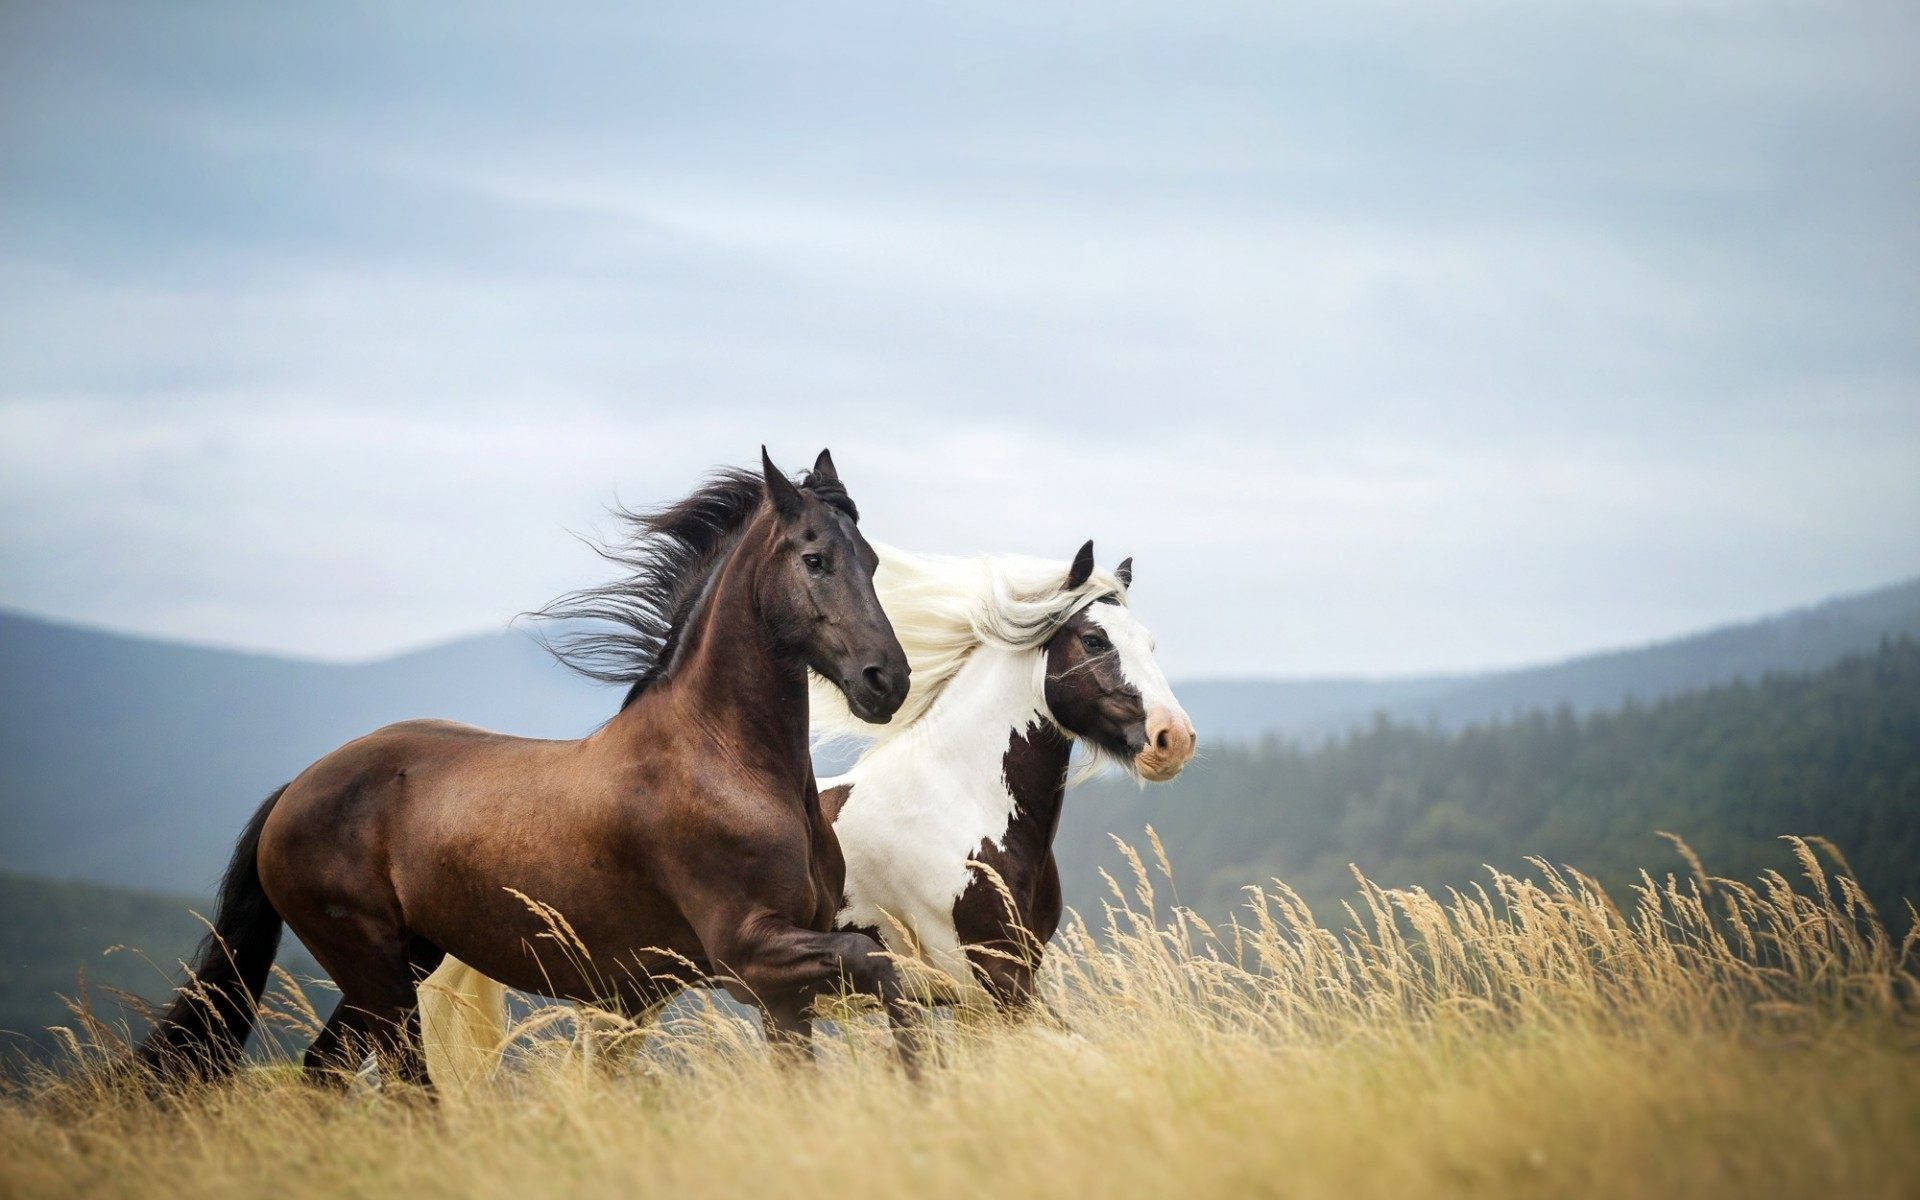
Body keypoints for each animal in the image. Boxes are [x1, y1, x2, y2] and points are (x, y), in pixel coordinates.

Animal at [137, 449, 925, 1088]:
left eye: (873, 562)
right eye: (815, 559)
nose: (886, 681)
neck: (724, 760)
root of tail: (294, 791)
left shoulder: (783, 992)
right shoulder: (750, 954)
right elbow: (885, 968)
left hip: (399, 966)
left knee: (324, 1072)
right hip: (375, 971)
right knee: (405, 1085)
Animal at [419, 538, 1196, 1083]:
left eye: (1152, 644)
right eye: (1094, 640)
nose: (1173, 739)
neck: (957, 803)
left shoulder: (994, 993)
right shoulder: (986, 983)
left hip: (627, 1000)